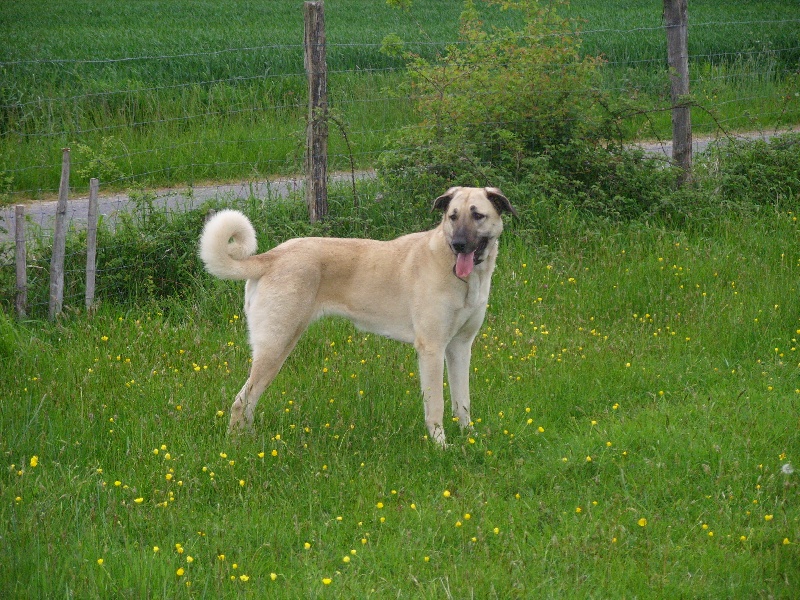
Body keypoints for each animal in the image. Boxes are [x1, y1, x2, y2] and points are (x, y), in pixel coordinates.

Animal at [197, 188, 516, 446]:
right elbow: (436, 406)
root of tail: (271, 256)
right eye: (452, 217)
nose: (459, 244)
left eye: (477, 216)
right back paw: (237, 448)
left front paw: (469, 437)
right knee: (241, 403)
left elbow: (463, 402)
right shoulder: (432, 350)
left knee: (248, 402)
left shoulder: (460, 347)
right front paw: (441, 446)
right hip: (276, 347)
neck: (466, 277)